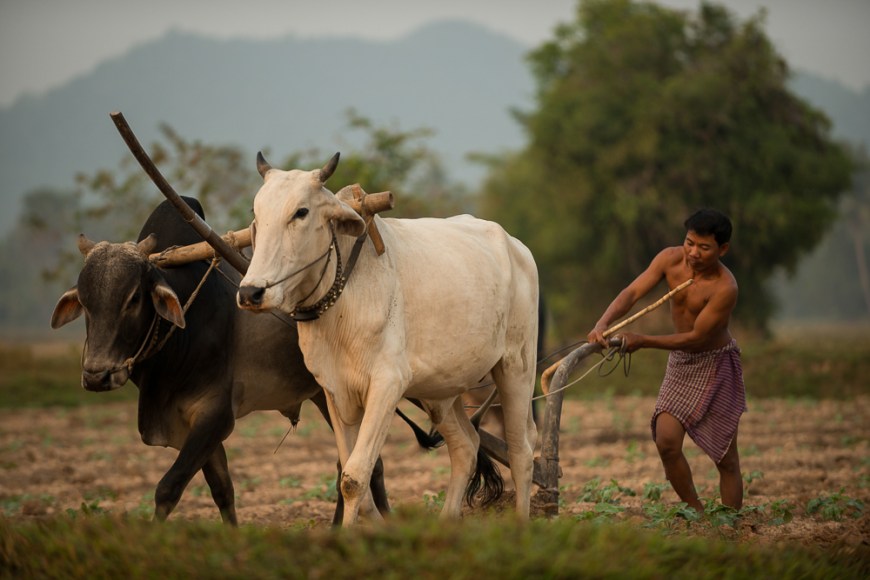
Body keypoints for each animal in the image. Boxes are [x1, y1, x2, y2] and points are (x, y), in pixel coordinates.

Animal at [50, 197, 394, 525]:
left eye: (133, 299)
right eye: (84, 301)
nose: (97, 376)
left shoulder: (214, 414)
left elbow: (168, 487)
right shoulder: (197, 427)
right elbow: (222, 489)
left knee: (363, 465)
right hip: (325, 396)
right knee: (358, 464)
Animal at [236, 153, 540, 526]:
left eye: (301, 212)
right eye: (256, 214)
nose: (251, 292)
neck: (343, 300)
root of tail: (517, 246)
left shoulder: (387, 384)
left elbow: (354, 477)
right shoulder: (334, 391)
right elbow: (353, 481)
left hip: (517, 367)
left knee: (521, 450)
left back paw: (521, 522)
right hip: (441, 390)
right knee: (466, 447)